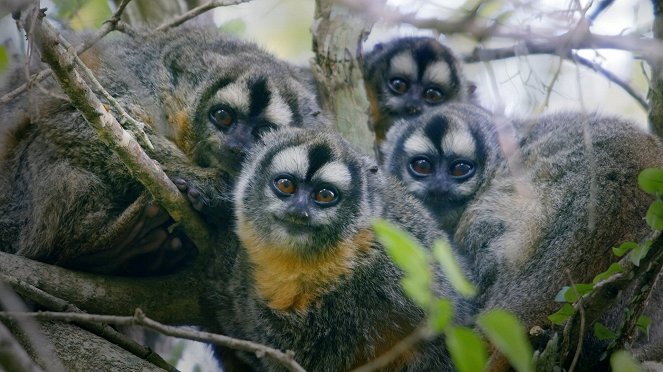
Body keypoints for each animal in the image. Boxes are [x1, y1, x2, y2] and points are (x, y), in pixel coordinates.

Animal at [0, 28, 326, 274]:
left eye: (261, 133)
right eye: (223, 117)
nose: (237, 146)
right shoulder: (142, 78)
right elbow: (74, 116)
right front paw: (208, 185)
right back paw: (103, 247)